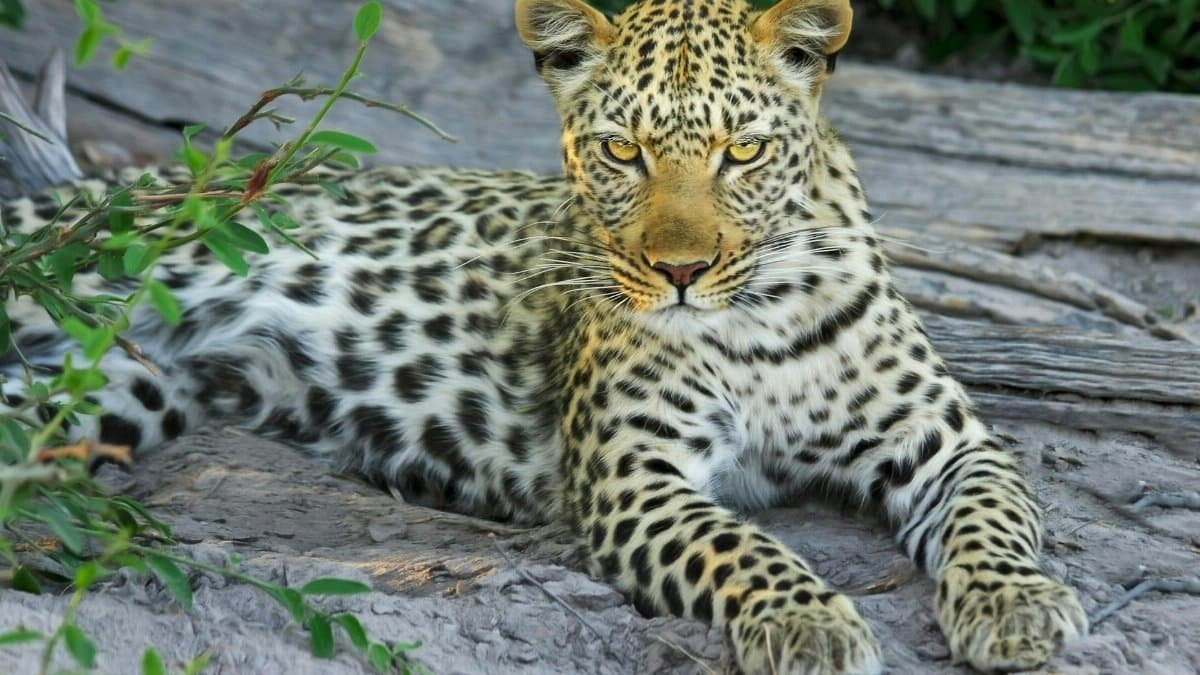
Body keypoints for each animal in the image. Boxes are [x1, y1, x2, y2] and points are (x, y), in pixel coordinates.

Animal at [0, 0, 1089, 672]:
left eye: (742, 152)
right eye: (621, 151)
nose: (681, 272)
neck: (760, 313)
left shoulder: (950, 443)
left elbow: (994, 519)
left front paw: (1018, 605)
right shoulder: (634, 476)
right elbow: (743, 545)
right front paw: (808, 618)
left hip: (116, 389)